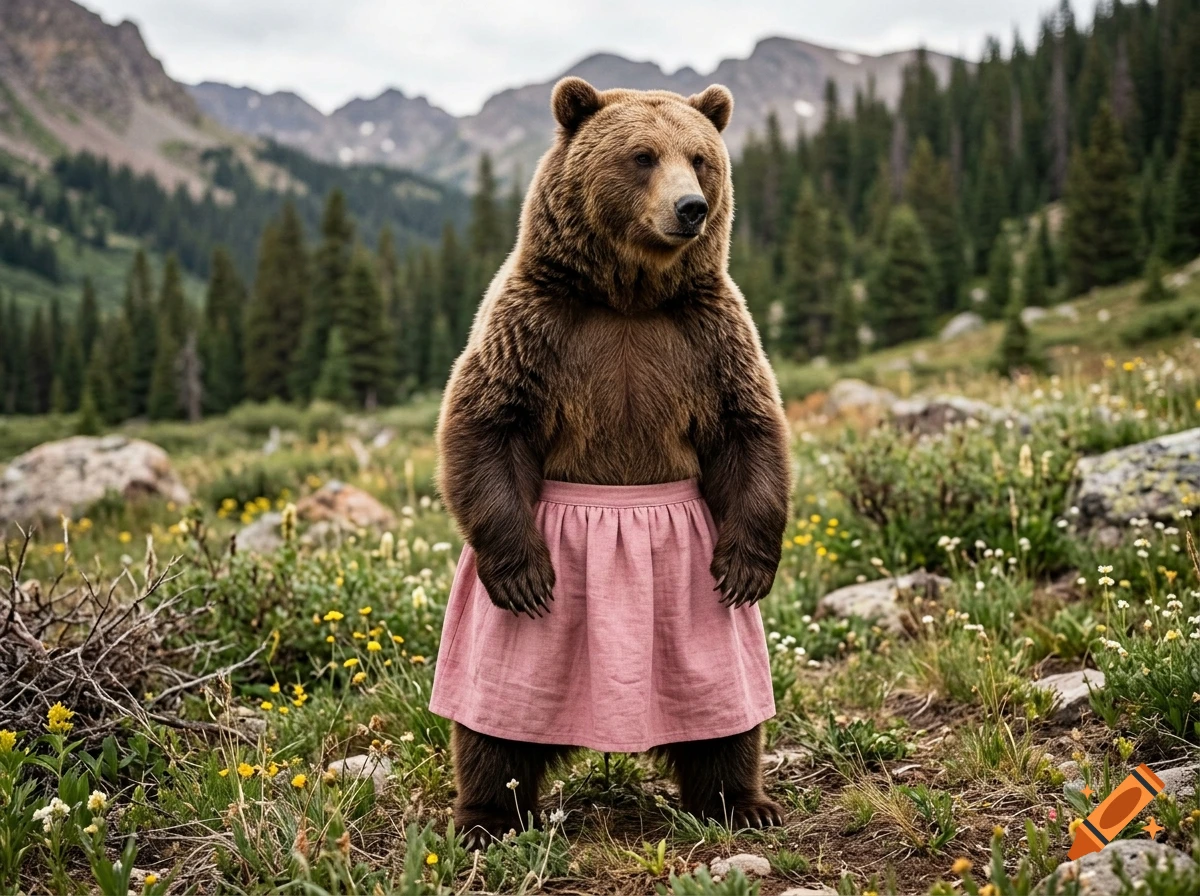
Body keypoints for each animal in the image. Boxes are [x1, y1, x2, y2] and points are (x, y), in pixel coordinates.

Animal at [432, 76, 792, 847]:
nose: (691, 208)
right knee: (490, 734)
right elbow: (486, 422)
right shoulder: (533, 325)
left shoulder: (710, 335)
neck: (629, 294)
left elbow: (749, 429)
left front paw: (748, 567)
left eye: (700, 158)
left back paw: (742, 802)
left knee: (729, 725)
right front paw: (525, 576)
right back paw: (484, 817)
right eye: (642, 156)